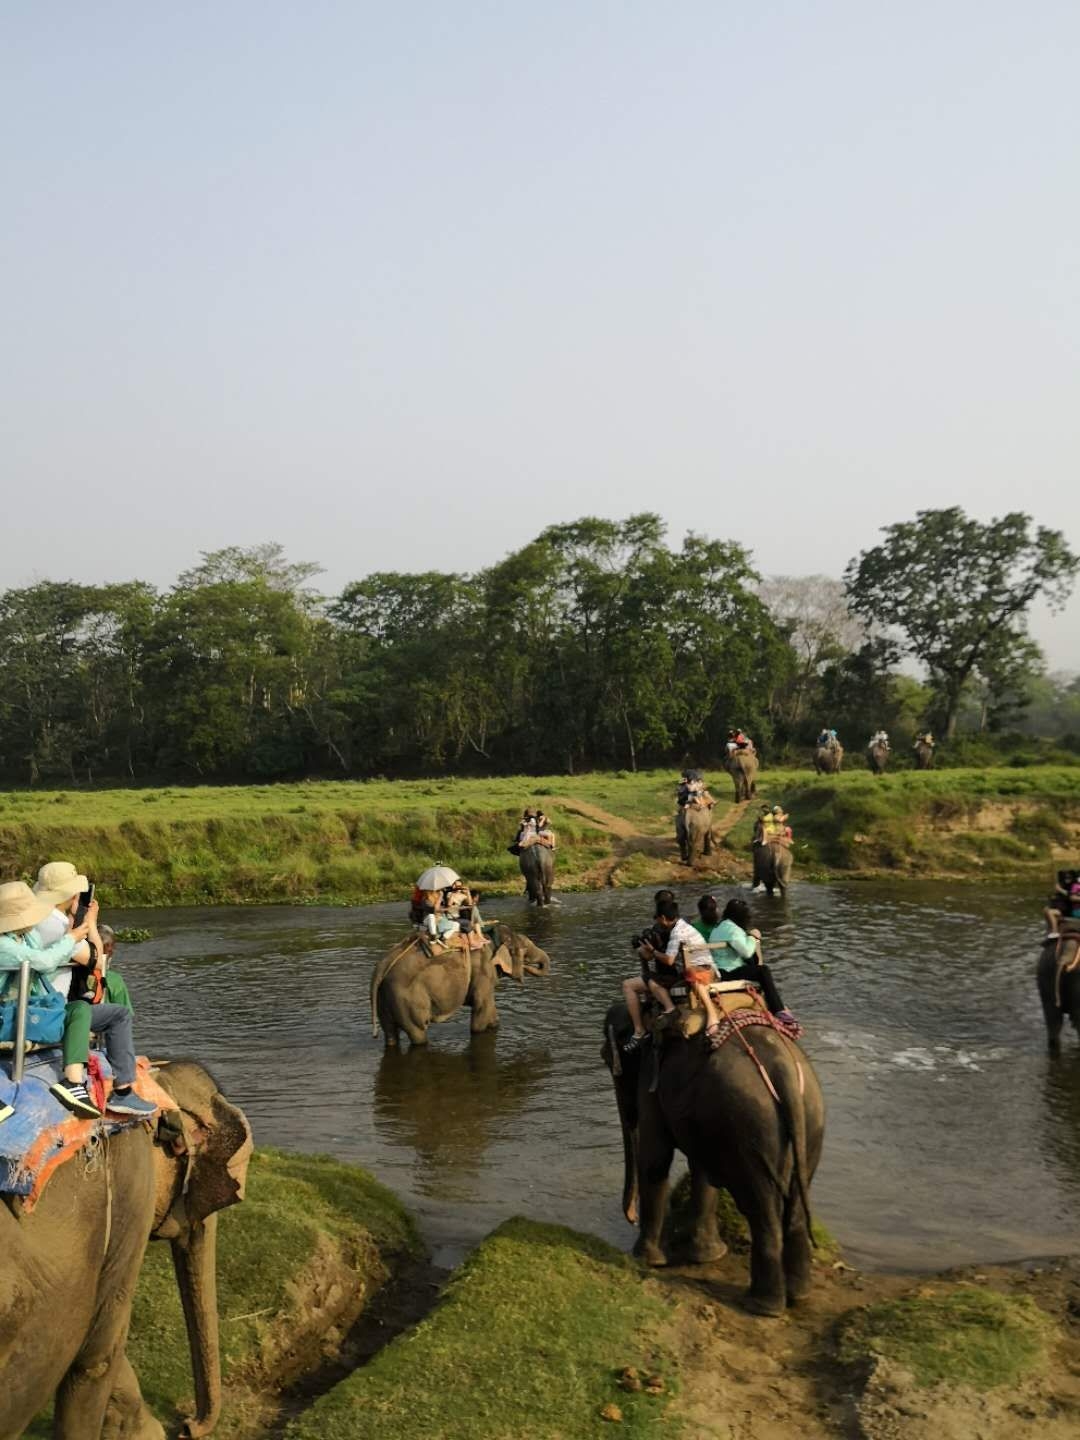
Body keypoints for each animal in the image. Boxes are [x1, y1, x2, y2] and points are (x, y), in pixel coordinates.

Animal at [371, 921, 552, 1048]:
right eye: (525, 949)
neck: (491, 937)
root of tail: (381, 966)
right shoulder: (484, 971)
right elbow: (480, 1011)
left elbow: (491, 1012)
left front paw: (494, 1024)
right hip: (407, 999)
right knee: (418, 1033)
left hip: (384, 999)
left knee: (390, 1033)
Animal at [601, 1002, 829, 1319]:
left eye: (606, 1058)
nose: (631, 1218)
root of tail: (783, 1069)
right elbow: (703, 1170)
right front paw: (707, 1256)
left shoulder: (651, 1083)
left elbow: (655, 1159)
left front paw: (646, 1260)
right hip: (808, 1123)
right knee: (794, 1206)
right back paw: (798, 1295)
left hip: (750, 1126)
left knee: (760, 1208)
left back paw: (761, 1306)